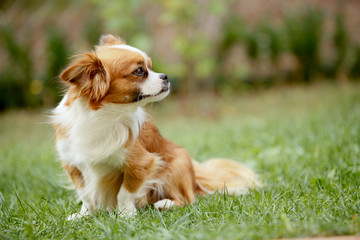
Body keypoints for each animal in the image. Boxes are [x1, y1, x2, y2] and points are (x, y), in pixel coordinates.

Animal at [52, 34, 260, 220]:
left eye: (151, 68)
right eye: (139, 71)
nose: (165, 76)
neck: (104, 116)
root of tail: (195, 178)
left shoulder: (141, 164)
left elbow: (124, 193)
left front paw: (125, 214)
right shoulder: (73, 165)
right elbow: (86, 194)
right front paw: (83, 215)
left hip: (175, 168)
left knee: (187, 199)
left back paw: (165, 204)